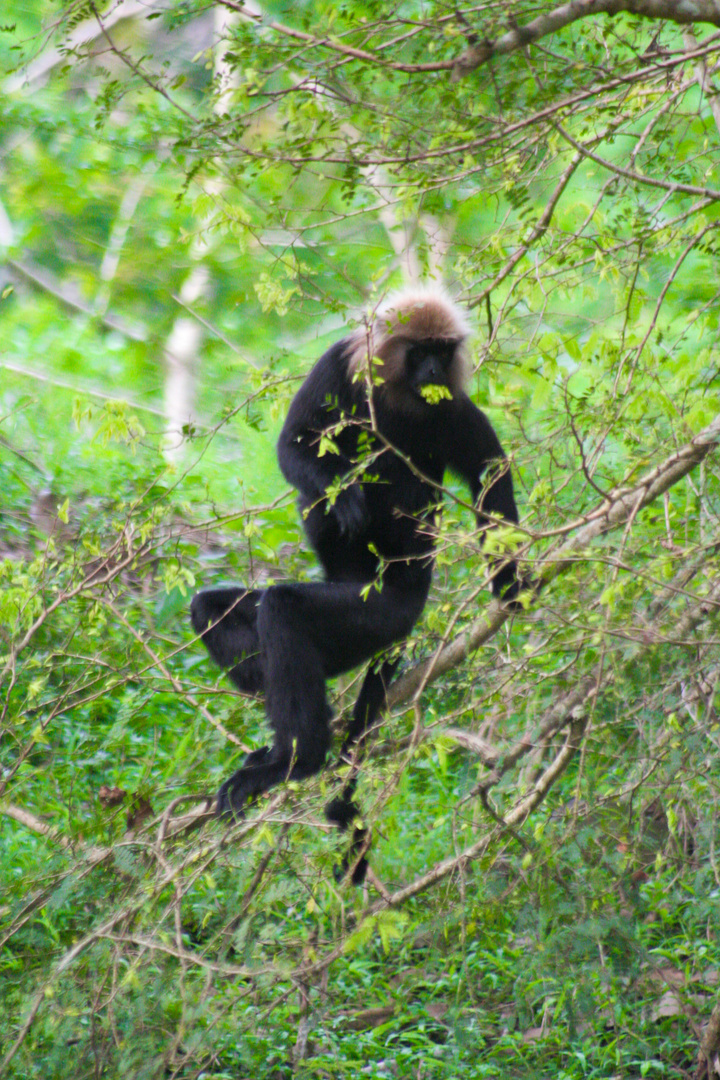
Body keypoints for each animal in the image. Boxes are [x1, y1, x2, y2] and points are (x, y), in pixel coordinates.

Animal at [188, 285, 520, 868]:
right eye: (420, 351)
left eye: (443, 350)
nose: (434, 368)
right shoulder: (339, 364)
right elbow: (295, 442)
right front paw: (341, 495)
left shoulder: (450, 406)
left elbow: (489, 474)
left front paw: (509, 584)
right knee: (214, 609)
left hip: (374, 616)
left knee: (284, 608)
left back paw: (298, 761)